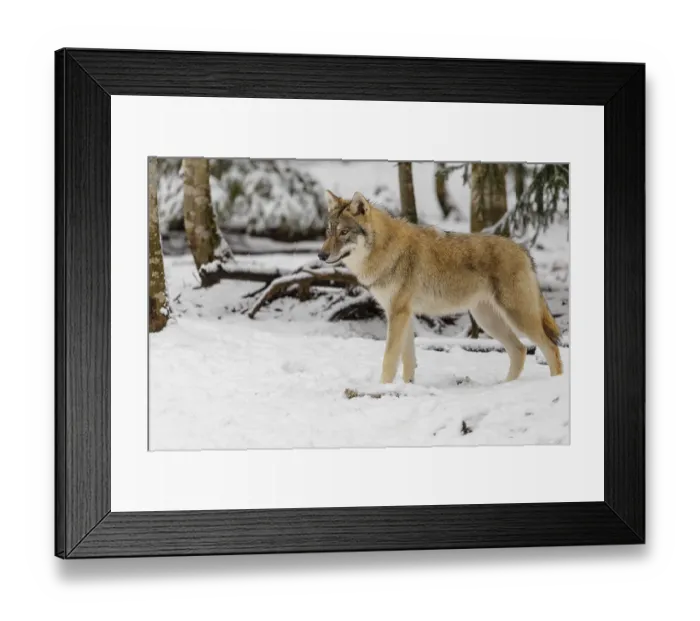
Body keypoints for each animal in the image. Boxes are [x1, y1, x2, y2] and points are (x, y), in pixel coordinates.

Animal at [319, 190, 563, 385]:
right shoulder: (404, 314)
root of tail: (523, 250)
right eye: (328, 231)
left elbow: (389, 359)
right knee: (520, 350)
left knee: (550, 348)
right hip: (487, 319)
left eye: (344, 232)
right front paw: (407, 388)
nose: (320, 255)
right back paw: (505, 386)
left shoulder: (398, 314)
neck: (386, 248)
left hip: (517, 317)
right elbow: (408, 360)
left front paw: (382, 389)